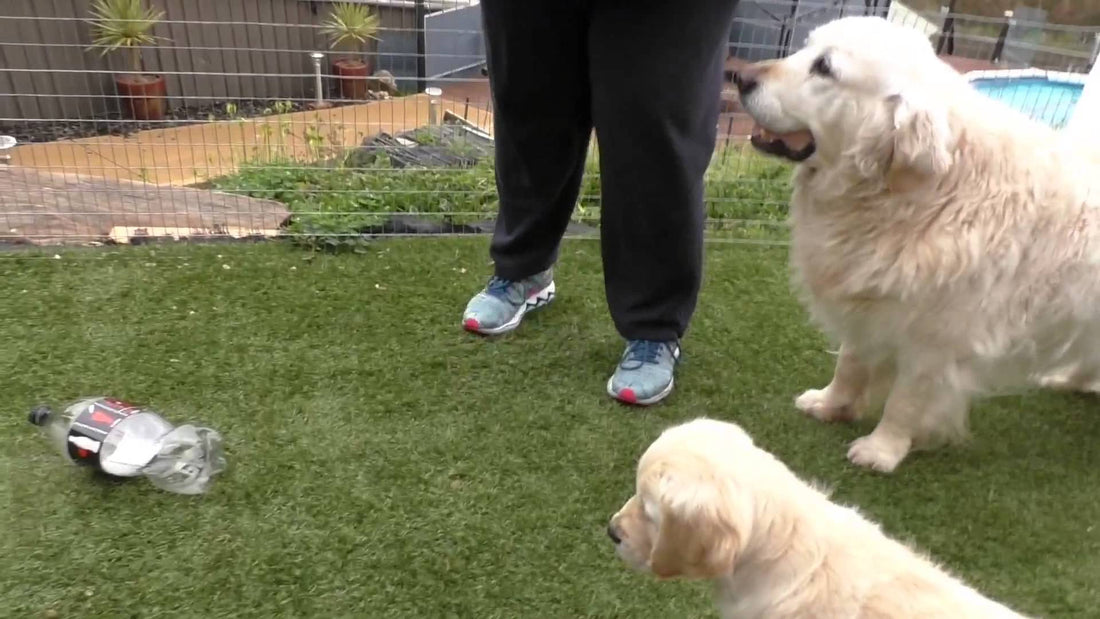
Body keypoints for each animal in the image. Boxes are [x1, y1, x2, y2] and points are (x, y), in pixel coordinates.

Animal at [734, 14, 1100, 472]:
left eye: (824, 68)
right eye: (806, 48)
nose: (739, 77)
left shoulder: (936, 338)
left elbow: (905, 401)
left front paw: (882, 450)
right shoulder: (870, 301)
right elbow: (851, 363)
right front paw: (832, 405)